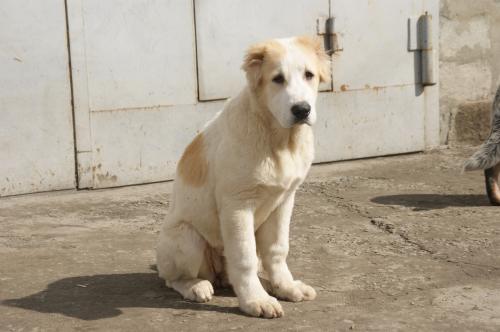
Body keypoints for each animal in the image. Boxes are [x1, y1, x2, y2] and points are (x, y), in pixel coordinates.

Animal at [154, 35, 330, 316]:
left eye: (309, 75)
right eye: (277, 79)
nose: (302, 110)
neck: (279, 139)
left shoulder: (284, 200)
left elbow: (277, 249)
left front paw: (286, 287)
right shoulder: (238, 205)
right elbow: (244, 257)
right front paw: (255, 300)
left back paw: (266, 284)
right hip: (187, 238)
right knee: (173, 278)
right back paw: (196, 286)